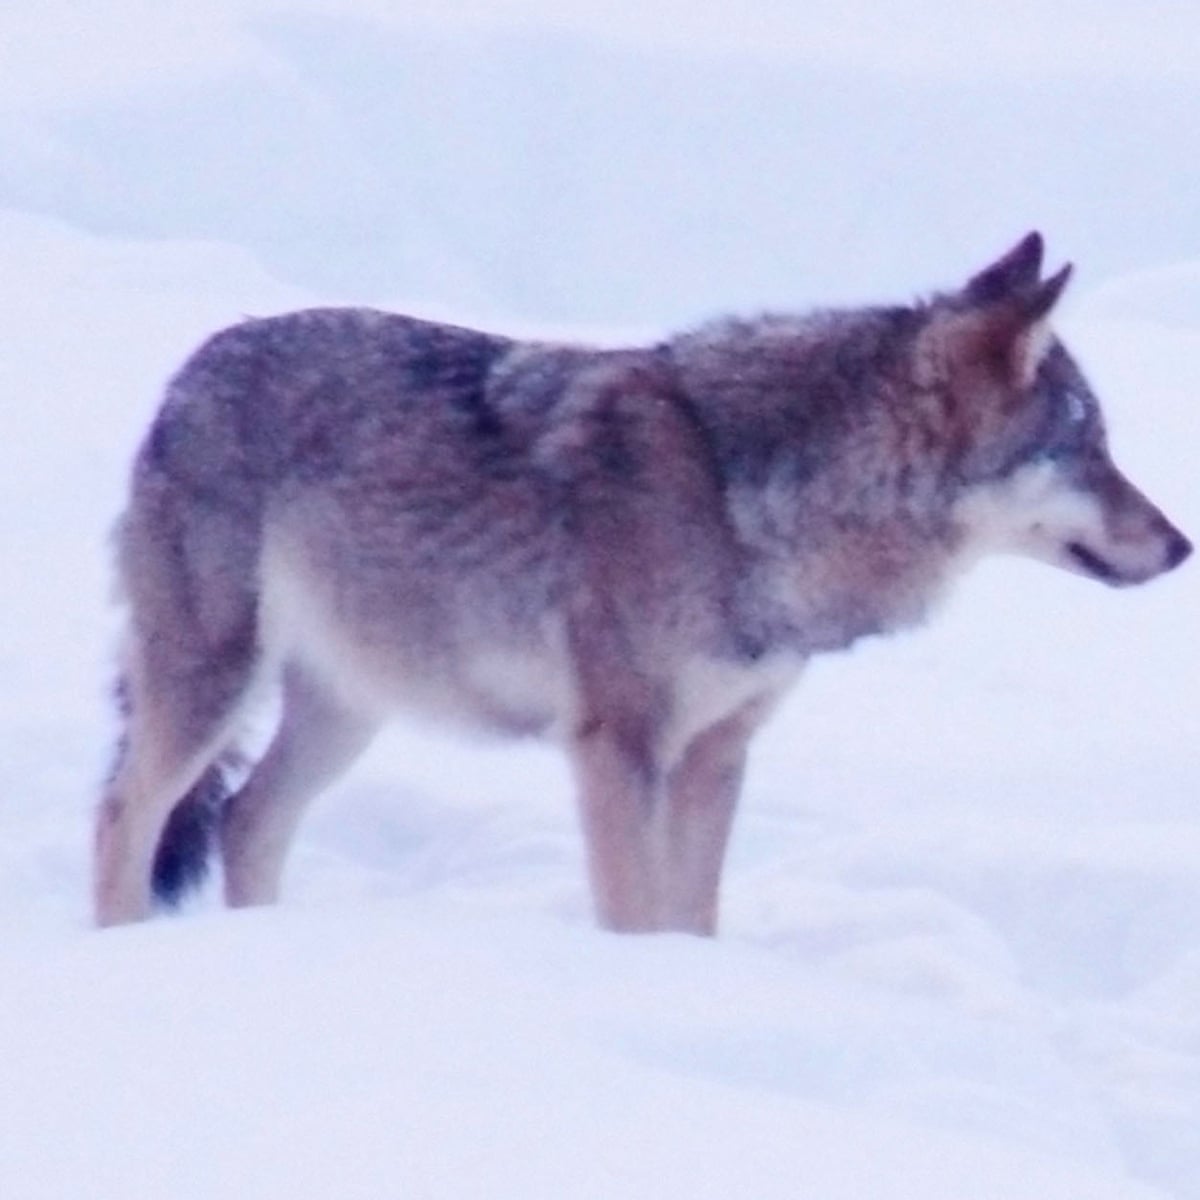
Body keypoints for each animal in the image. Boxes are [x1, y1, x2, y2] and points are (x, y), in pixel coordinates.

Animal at [94, 232, 1191, 934]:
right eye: (1090, 447)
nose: (1182, 545)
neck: (745, 500)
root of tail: (189, 370)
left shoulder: (716, 753)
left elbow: (690, 917)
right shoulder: (618, 748)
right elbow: (633, 913)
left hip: (349, 710)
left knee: (244, 821)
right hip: (214, 685)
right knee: (125, 817)